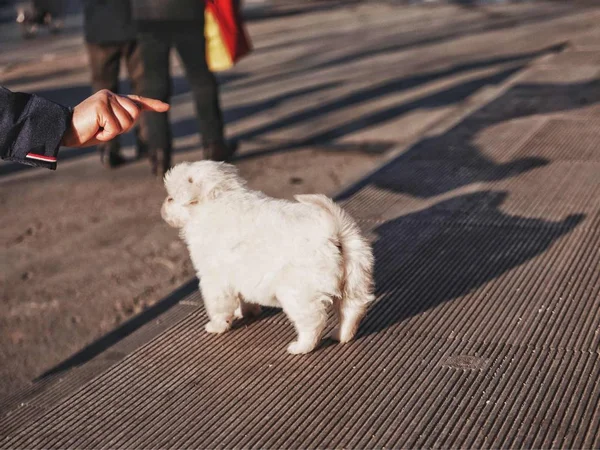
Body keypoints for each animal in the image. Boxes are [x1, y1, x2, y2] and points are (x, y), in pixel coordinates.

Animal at [162, 162, 372, 356]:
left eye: (171, 198)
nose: (163, 206)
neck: (217, 199)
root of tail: (333, 232)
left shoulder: (214, 279)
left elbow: (219, 306)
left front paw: (216, 326)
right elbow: (244, 298)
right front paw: (246, 312)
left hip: (298, 294)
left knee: (314, 321)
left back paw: (301, 347)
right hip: (354, 280)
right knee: (352, 309)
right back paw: (342, 335)